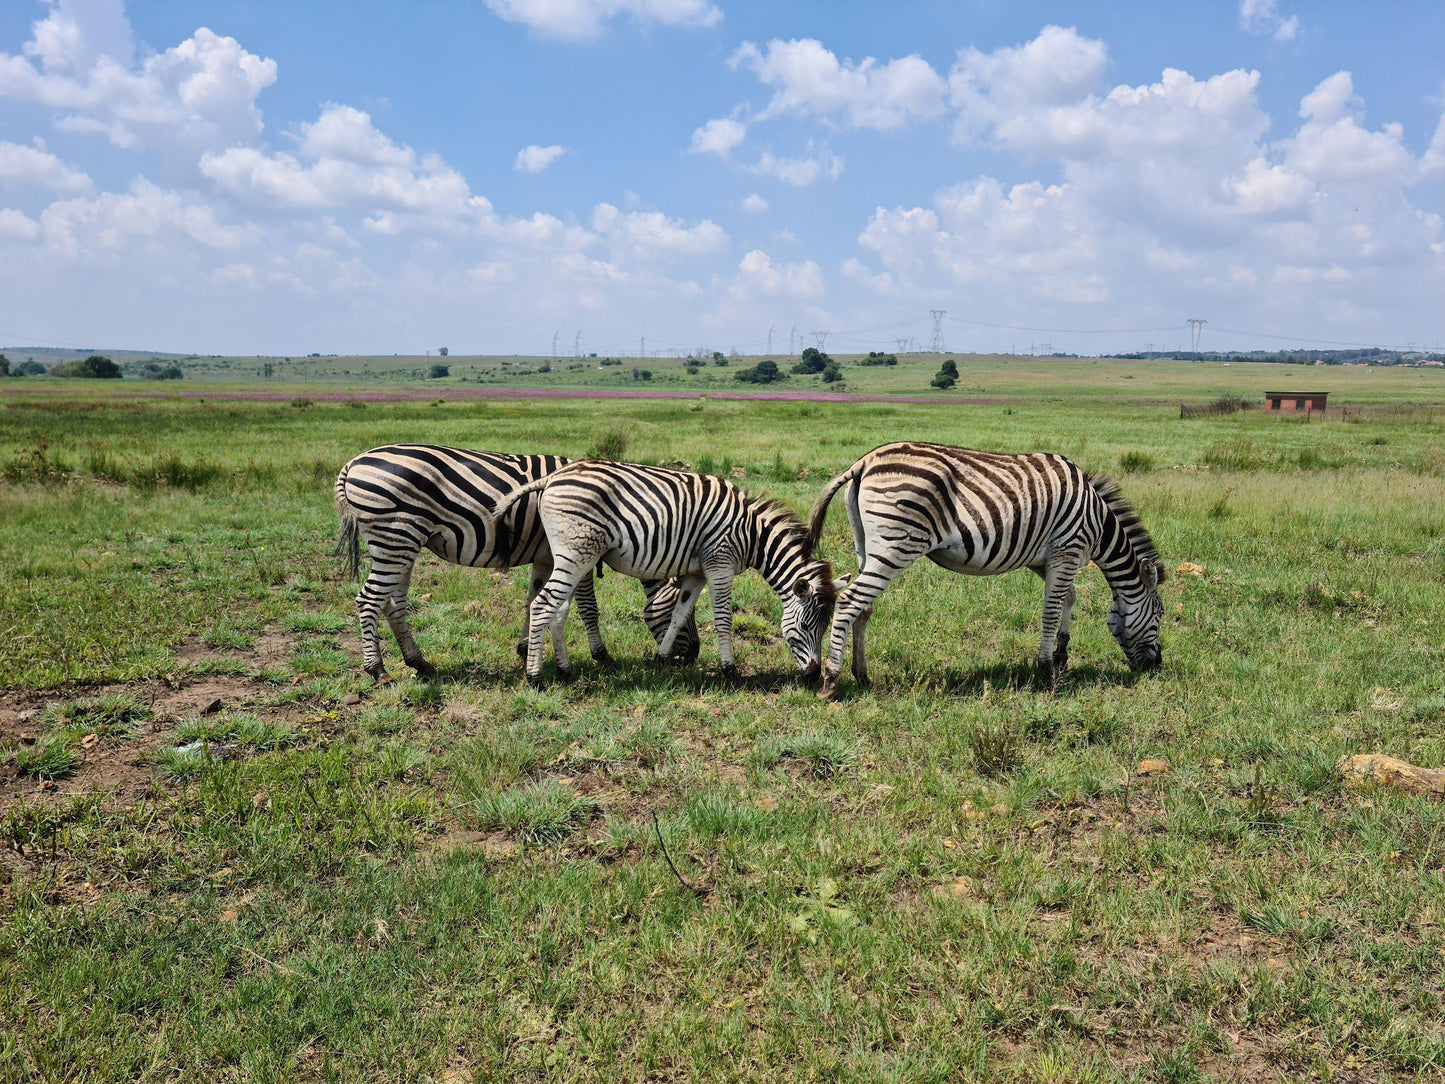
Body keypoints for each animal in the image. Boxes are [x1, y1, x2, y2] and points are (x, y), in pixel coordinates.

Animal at [338, 445, 699, 682]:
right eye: (682, 612)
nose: (693, 656)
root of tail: (353, 463)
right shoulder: (579, 552)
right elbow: (587, 607)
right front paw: (602, 656)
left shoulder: (544, 556)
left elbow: (531, 600)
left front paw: (526, 650)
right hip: (395, 536)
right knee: (369, 600)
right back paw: (378, 670)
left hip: (402, 543)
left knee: (393, 602)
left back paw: (419, 662)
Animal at [491, 459, 843, 687]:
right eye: (807, 626)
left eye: (825, 627)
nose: (813, 677)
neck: (751, 534)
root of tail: (551, 478)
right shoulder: (720, 564)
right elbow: (723, 618)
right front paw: (729, 669)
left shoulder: (697, 572)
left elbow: (679, 612)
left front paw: (661, 659)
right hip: (577, 551)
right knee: (542, 605)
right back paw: (535, 678)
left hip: (574, 555)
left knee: (559, 607)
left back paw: (564, 672)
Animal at [809, 442, 1167, 705]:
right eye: (1159, 615)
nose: (1157, 665)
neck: (1099, 521)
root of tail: (865, 461)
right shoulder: (1067, 550)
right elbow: (1050, 611)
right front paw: (1046, 668)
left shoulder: (1045, 559)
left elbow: (1068, 598)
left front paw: (1062, 653)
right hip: (896, 546)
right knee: (849, 603)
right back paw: (831, 681)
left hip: (868, 546)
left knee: (864, 607)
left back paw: (862, 675)